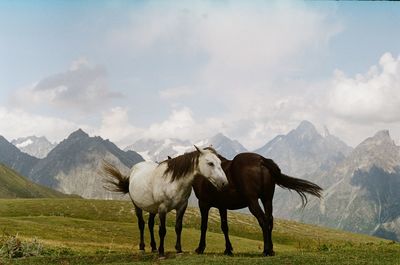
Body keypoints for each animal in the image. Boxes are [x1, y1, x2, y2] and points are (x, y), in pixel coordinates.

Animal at [192, 151, 324, 256]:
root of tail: (261, 160)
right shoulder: (222, 206)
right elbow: (224, 227)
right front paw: (228, 250)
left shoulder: (203, 204)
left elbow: (204, 226)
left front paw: (200, 248)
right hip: (267, 199)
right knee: (269, 220)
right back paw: (271, 250)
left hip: (253, 201)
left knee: (263, 220)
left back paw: (266, 250)